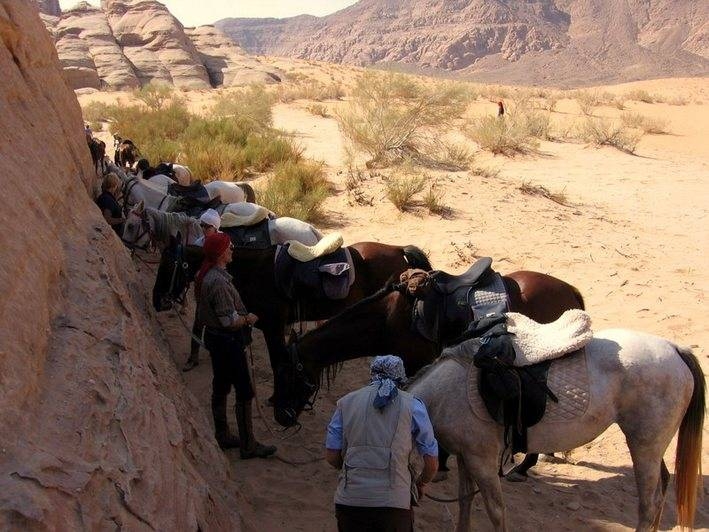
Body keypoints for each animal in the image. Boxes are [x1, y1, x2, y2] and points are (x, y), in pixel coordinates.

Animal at [406, 330, 704, 528]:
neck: (444, 395)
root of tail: (674, 348)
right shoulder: (466, 458)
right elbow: (465, 503)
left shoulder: (481, 460)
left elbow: (496, 511)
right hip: (652, 447)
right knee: (661, 493)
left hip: (644, 447)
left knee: (648, 505)